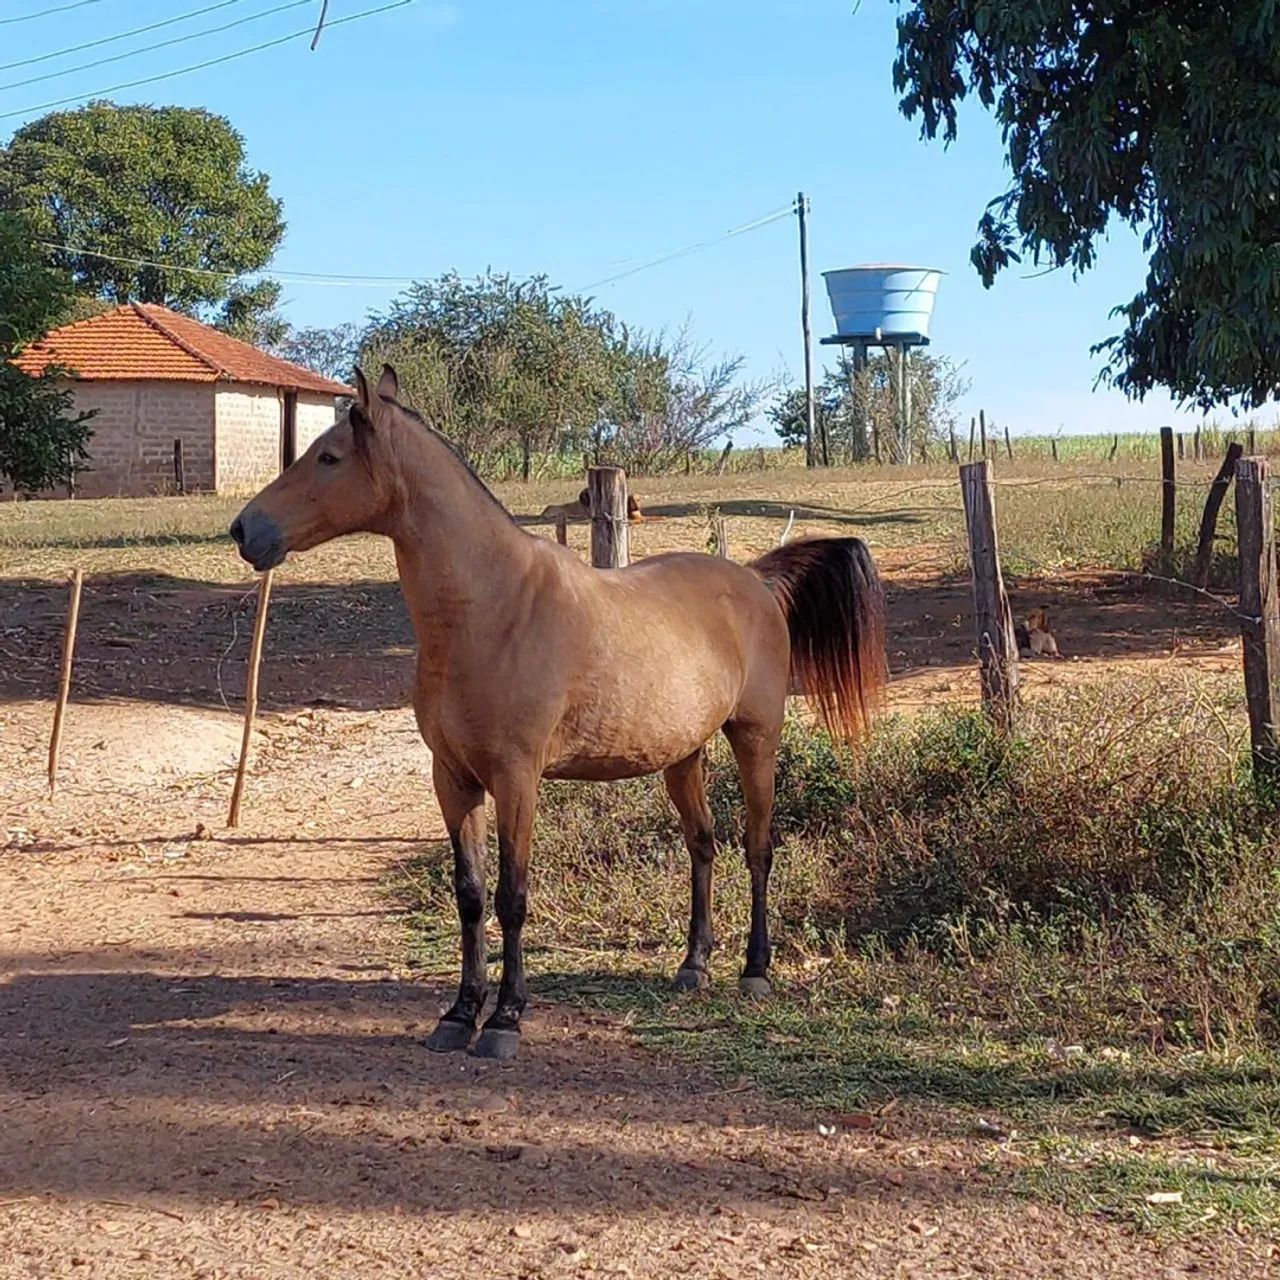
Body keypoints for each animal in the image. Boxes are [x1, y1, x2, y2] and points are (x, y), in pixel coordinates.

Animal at [230, 365, 887, 1060]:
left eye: (328, 457)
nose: (245, 531)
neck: (492, 608)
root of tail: (755, 581)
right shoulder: (453, 779)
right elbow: (470, 895)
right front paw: (459, 1013)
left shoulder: (517, 779)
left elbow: (512, 897)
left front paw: (505, 1019)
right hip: (683, 756)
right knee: (702, 846)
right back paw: (694, 965)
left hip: (756, 739)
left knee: (758, 847)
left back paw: (755, 970)